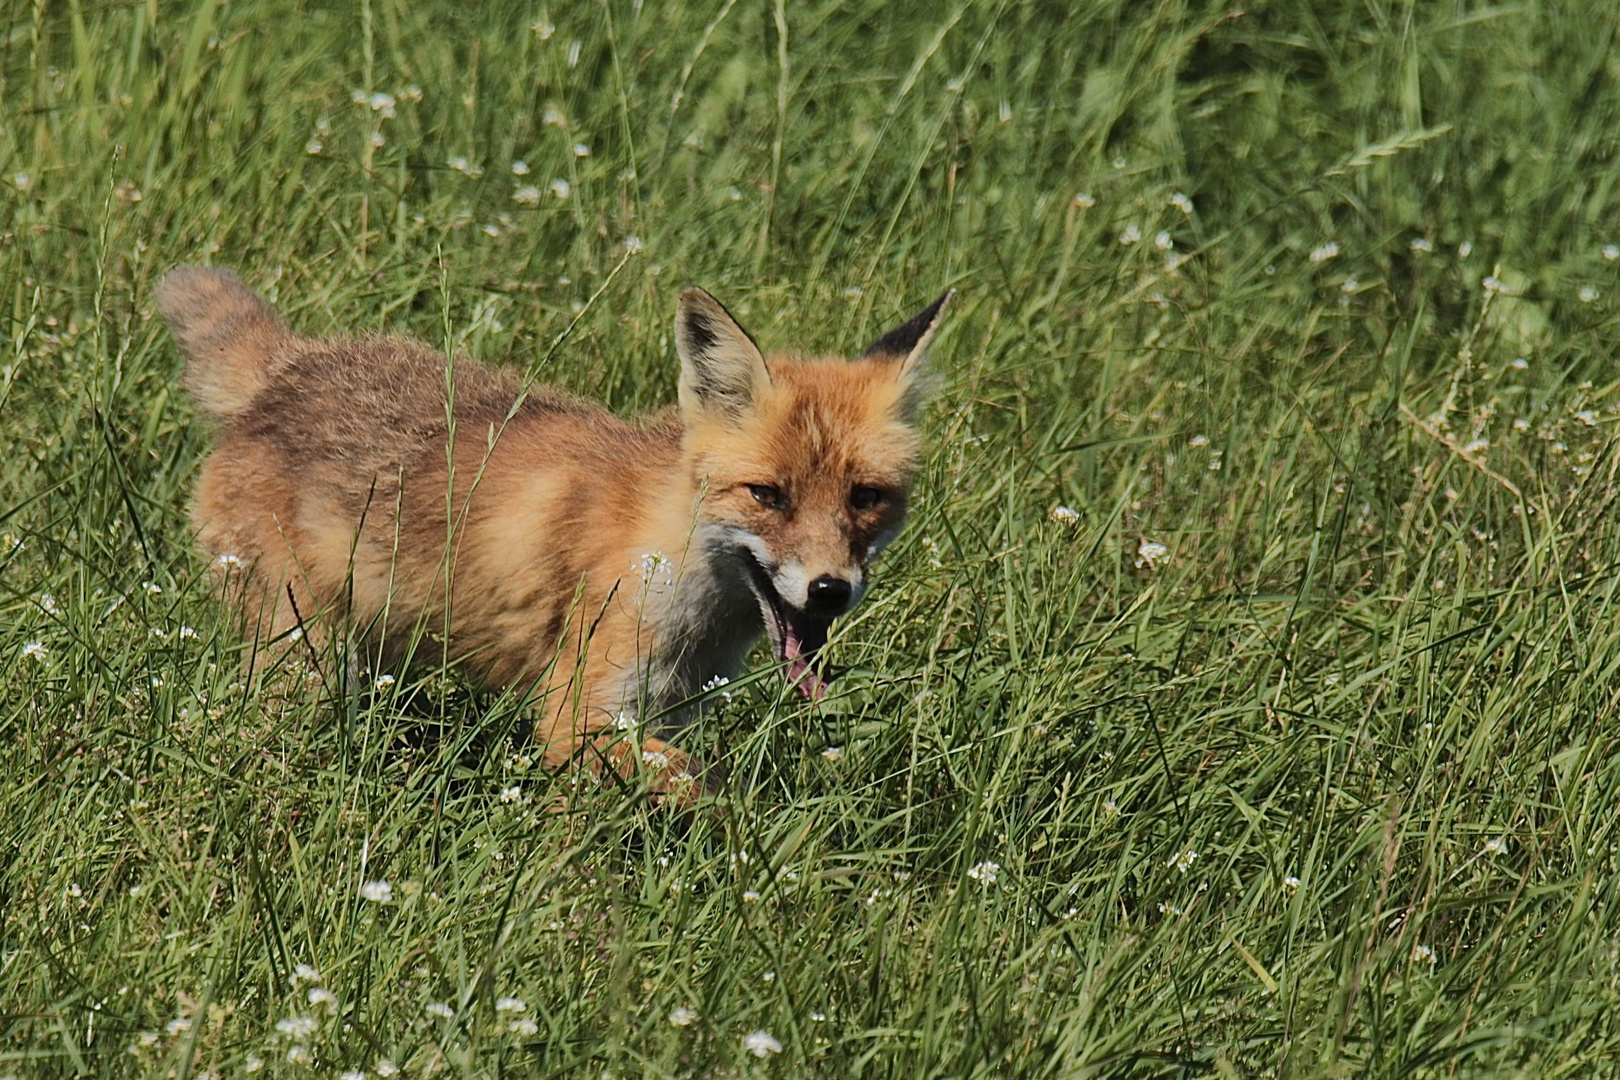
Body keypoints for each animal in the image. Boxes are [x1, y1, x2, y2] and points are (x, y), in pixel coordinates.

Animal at [157, 267, 946, 799]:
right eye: (767, 496)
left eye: (866, 498)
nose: (830, 590)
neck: (668, 552)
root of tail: (288, 368)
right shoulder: (578, 719)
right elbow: (703, 790)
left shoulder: (661, 709)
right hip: (303, 661)